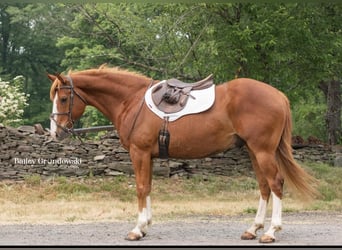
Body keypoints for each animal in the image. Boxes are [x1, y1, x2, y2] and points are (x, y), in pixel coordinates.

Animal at [48, 65, 318, 243]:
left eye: (63, 98)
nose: (55, 132)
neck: (131, 101)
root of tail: (278, 95)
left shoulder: (139, 153)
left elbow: (140, 188)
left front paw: (137, 229)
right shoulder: (148, 157)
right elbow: (148, 187)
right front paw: (145, 226)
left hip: (263, 151)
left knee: (276, 183)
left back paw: (271, 232)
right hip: (253, 151)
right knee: (264, 186)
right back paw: (253, 229)